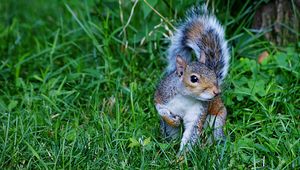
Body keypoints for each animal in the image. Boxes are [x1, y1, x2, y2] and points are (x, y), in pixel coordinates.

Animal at [155, 5, 230, 153]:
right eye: (194, 79)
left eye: (213, 74)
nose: (216, 92)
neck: (187, 97)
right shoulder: (162, 95)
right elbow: (160, 109)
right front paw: (173, 120)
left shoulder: (198, 113)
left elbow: (191, 133)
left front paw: (181, 157)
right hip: (169, 130)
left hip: (216, 120)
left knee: (215, 134)